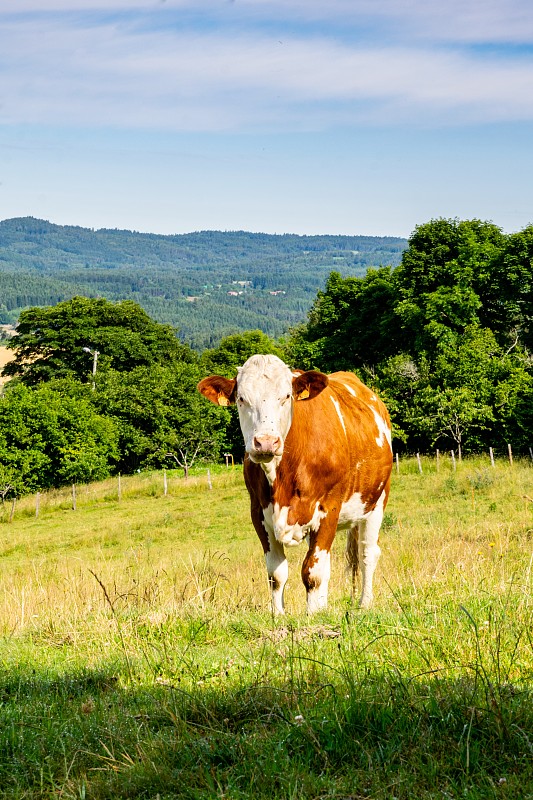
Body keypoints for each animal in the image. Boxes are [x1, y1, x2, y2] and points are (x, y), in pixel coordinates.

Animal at [197, 354, 392, 616]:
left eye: (286, 396)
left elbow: (312, 572)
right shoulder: (259, 513)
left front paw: (312, 616)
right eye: (241, 398)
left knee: (367, 554)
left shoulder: (329, 509)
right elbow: (277, 574)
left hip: (376, 502)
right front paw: (279, 616)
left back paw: (365, 602)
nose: (266, 442)